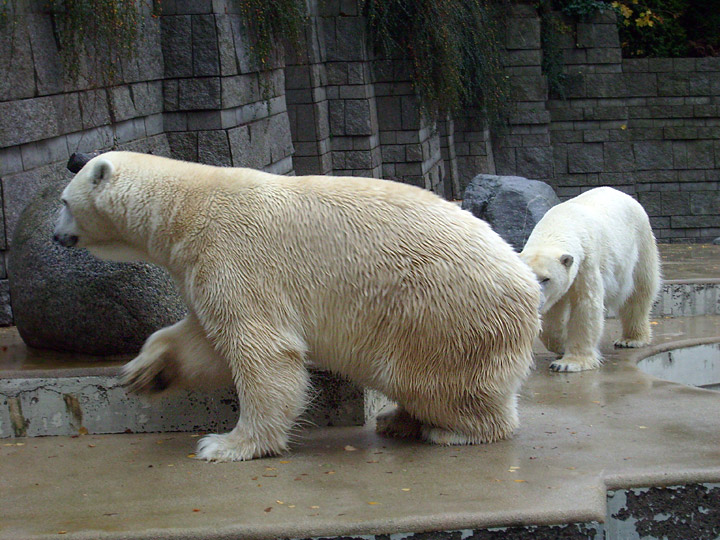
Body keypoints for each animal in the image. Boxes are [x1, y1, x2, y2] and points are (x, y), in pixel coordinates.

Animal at [520, 188, 660, 374]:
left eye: (546, 278)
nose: (535, 302)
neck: (561, 222)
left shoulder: (586, 261)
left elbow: (585, 305)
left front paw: (568, 363)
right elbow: (553, 313)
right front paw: (561, 345)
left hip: (639, 243)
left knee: (639, 292)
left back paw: (631, 339)